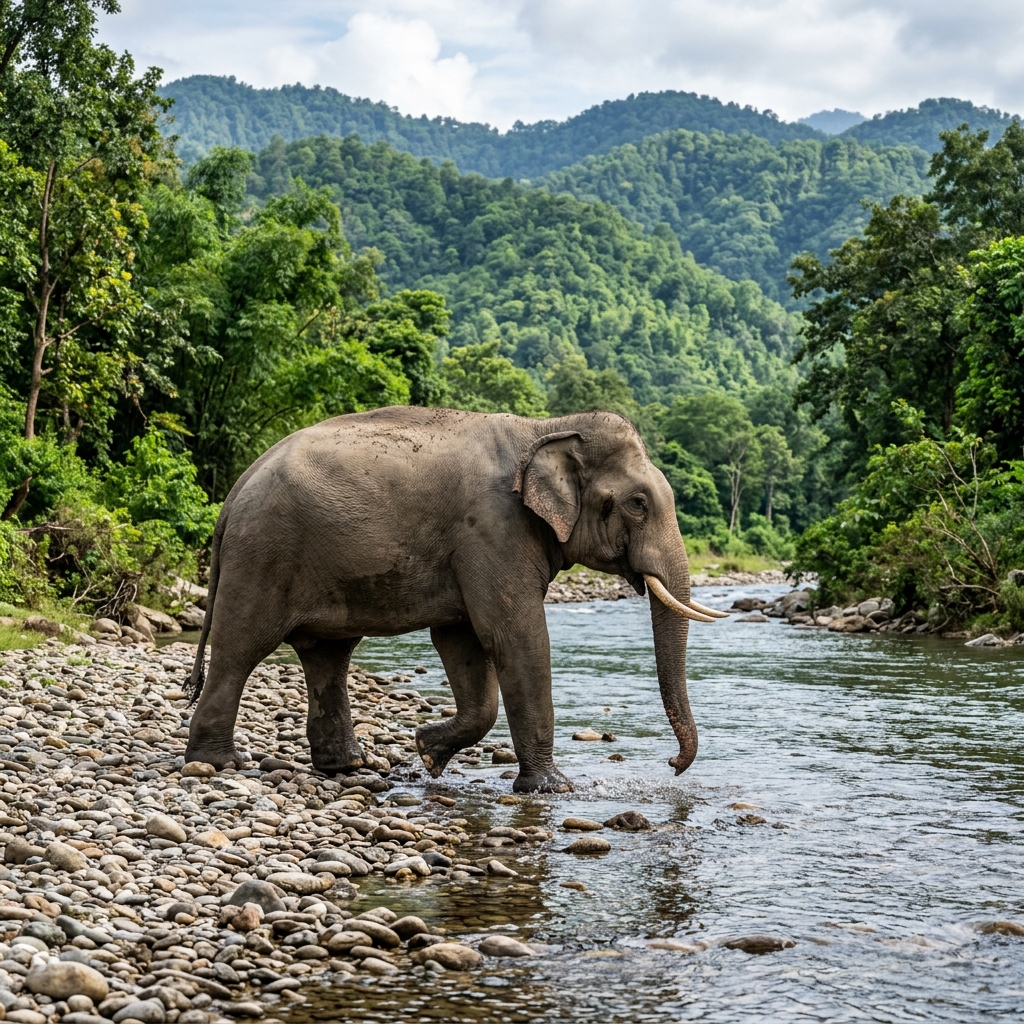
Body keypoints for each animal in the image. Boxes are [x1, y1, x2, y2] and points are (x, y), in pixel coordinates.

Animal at [184, 406, 727, 792]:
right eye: (638, 504)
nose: (672, 765)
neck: (546, 427)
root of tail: (233, 495)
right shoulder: (491, 530)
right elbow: (514, 636)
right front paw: (553, 788)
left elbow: (461, 641)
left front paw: (426, 751)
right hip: (262, 557)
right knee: (241, 649)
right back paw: (218, 763)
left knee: (328, 655)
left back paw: (347, 767)